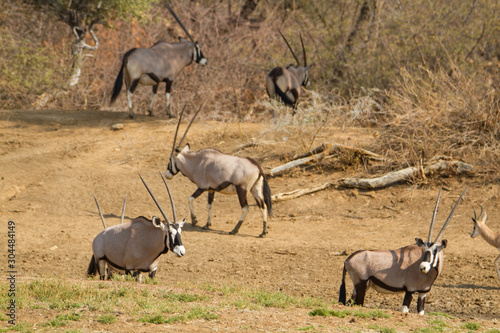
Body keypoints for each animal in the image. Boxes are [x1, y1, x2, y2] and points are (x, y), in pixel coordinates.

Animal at [165, 105, 274, 236]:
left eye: (170, 160)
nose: (167, 174)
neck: (197, 161)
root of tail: (257, 166)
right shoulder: (211, 189)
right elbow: (209, 205)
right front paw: (207, 225)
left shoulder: (202, 187)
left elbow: (190, 199)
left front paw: (194, 220)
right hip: (255, 189)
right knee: (262, 206)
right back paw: (263, 231)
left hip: (242, 189)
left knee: (245, 207)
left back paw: (234, 230)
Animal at [338, 187, 466, 314]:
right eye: (425, 249)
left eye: (435, 250)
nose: (422, 267)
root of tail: (348, 259)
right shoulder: (410, 290)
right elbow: (405, 310)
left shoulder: (422, 293)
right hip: (361, 285)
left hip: (360, 287)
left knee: (349, 303)